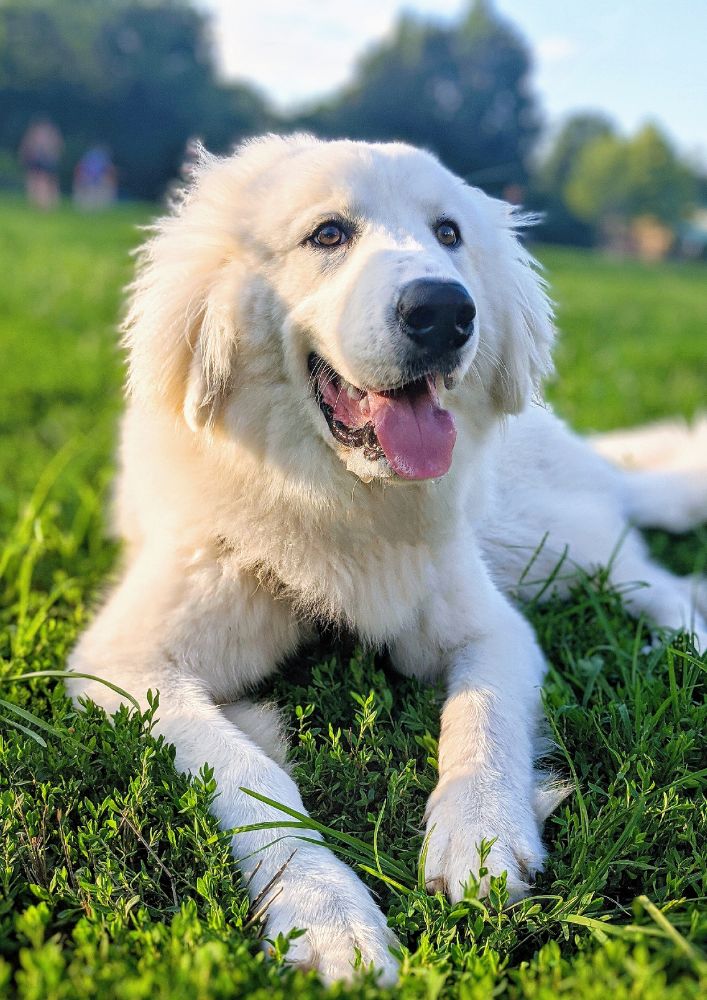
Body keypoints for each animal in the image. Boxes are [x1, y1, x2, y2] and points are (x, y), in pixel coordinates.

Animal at [68, 133, 707, 984]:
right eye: (328, 234)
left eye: (448, 233)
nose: (443, 311)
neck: (338, 507)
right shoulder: (123, 664)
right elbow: (244, 768)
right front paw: (326, 913)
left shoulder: (493, 629)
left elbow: (481, 717)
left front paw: (479, 839)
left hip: (546, 548)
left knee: (658, 578)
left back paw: (685, 641)